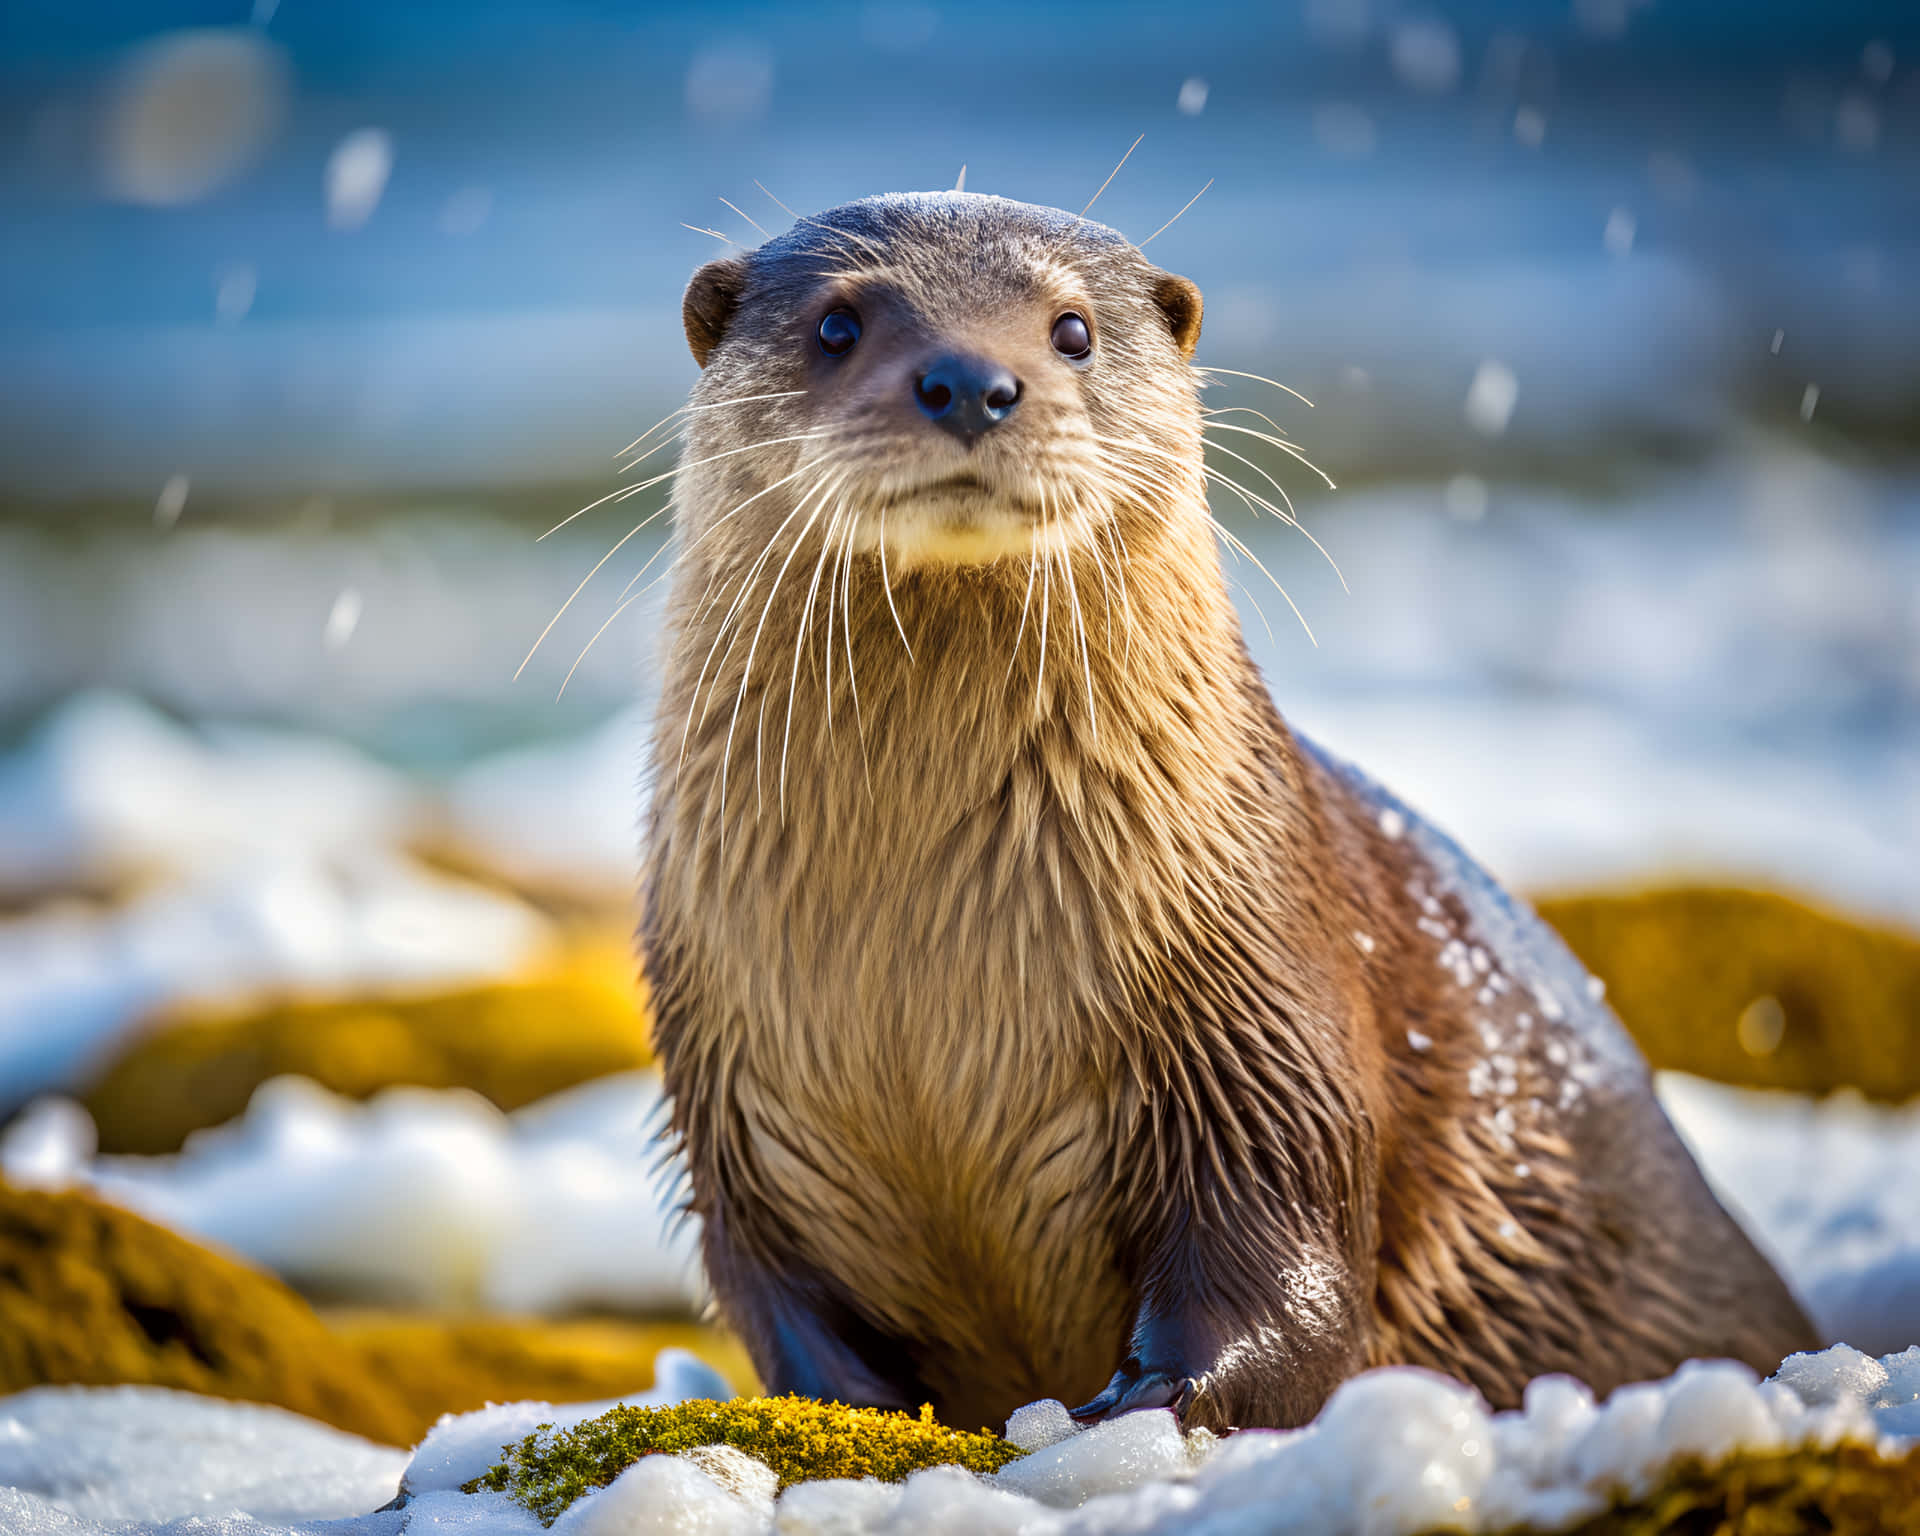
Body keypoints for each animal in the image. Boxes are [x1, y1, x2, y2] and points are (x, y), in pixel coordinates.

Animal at [640, 191, 1816, 1434]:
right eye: (837, 324)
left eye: (1071, 329)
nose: (969, 380)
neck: (923, 991)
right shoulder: (731, 1113)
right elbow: (780, 1304)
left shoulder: (1262, 1026)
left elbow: (1279, 1261)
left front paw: (1133, 1407)